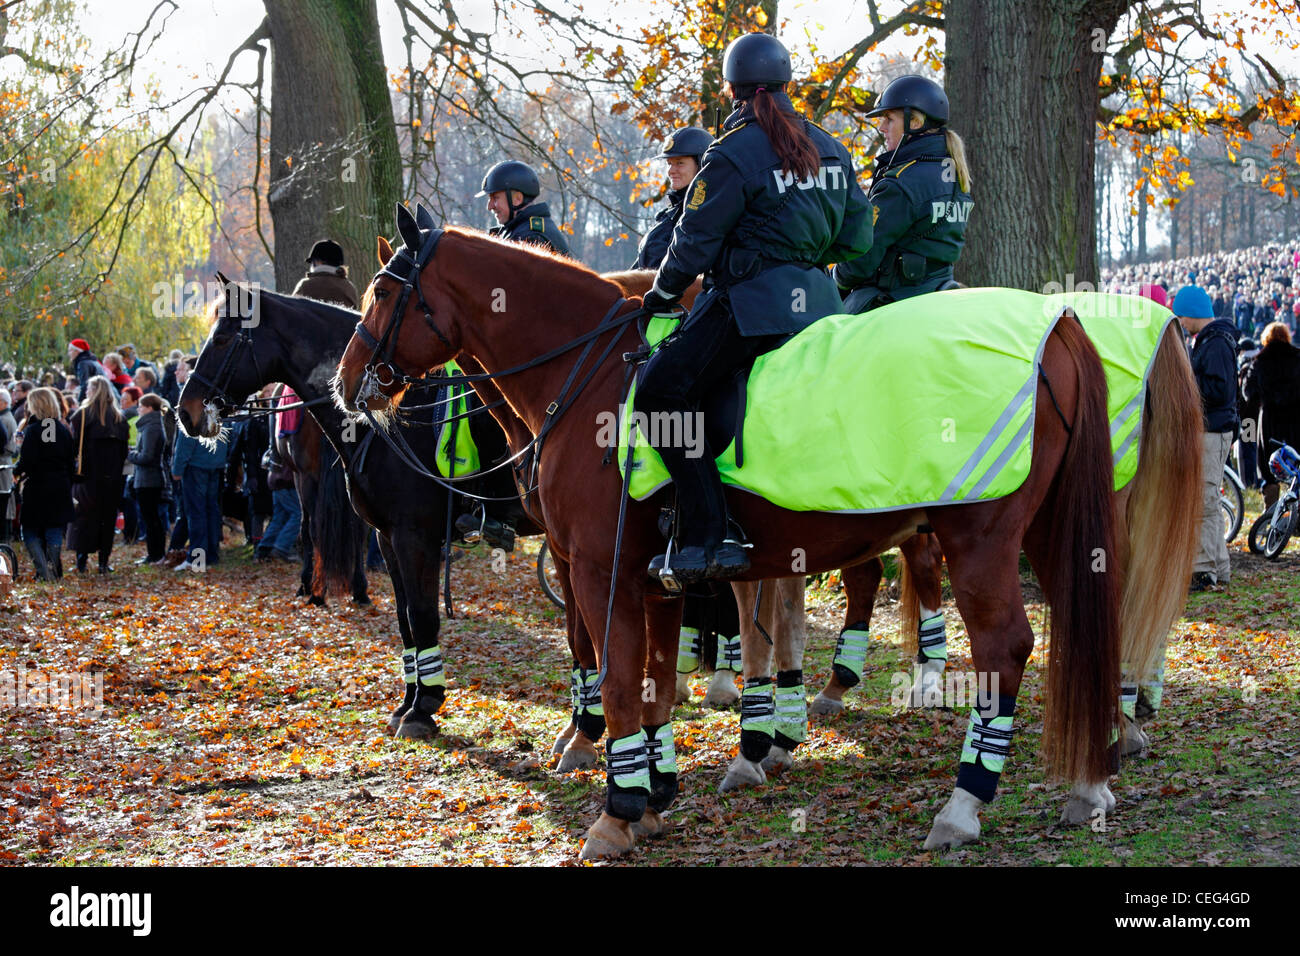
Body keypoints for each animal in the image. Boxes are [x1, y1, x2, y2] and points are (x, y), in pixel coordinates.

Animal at [332, 214, 1196, 858]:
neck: (596, 372)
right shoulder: (659, 578)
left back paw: (963, 803)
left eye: (381, 291)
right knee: (1092, 622)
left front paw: (616, 807)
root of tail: (1061, 324)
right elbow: (657, 680)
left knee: (1005, 649)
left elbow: (617, 679)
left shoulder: (598, 572)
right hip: (1056, 529)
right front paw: (657, 792)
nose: (342, 386)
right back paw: (1091, 779)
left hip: (981, 536)